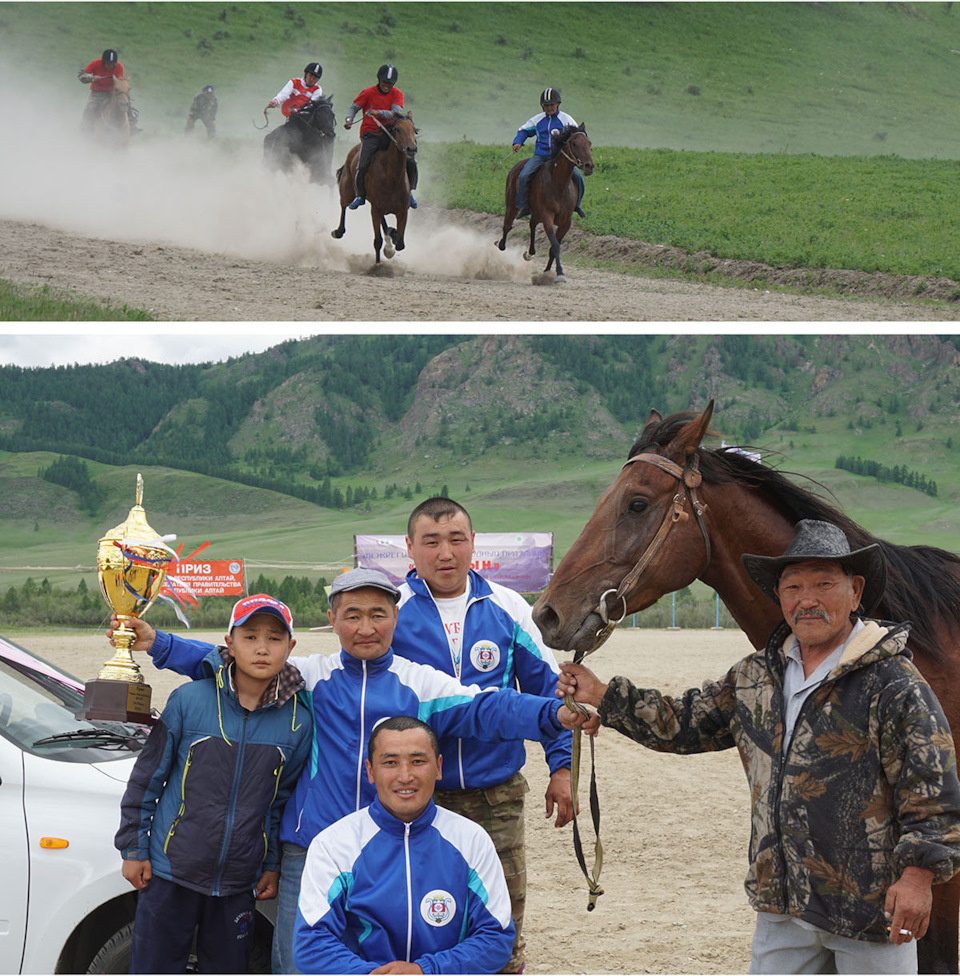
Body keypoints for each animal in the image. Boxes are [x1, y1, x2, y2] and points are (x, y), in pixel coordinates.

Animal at [332, 115, 418, 264]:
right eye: (397, 129)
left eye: (414, 130)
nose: (411, 149)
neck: (392, 178)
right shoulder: (375, 211)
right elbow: (377, 241)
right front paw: (378, 264)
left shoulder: (402, 212)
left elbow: (400, 244)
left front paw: (392, 237)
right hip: (347, 189)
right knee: (343, 205)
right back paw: (338, 231)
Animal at [496, 124, 592, 280]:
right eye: (574, 144)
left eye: (589, 144)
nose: (589, 166)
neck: (559, 185)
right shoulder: (547, 217)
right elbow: (555, 245)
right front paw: (559, 273)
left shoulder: (566, 221)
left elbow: (553, 247)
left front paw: (548, 271)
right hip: (512, 205)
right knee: (507, 226)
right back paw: (501, 244)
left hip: (536, 212)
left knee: (532, 224)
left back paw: (530, 253)